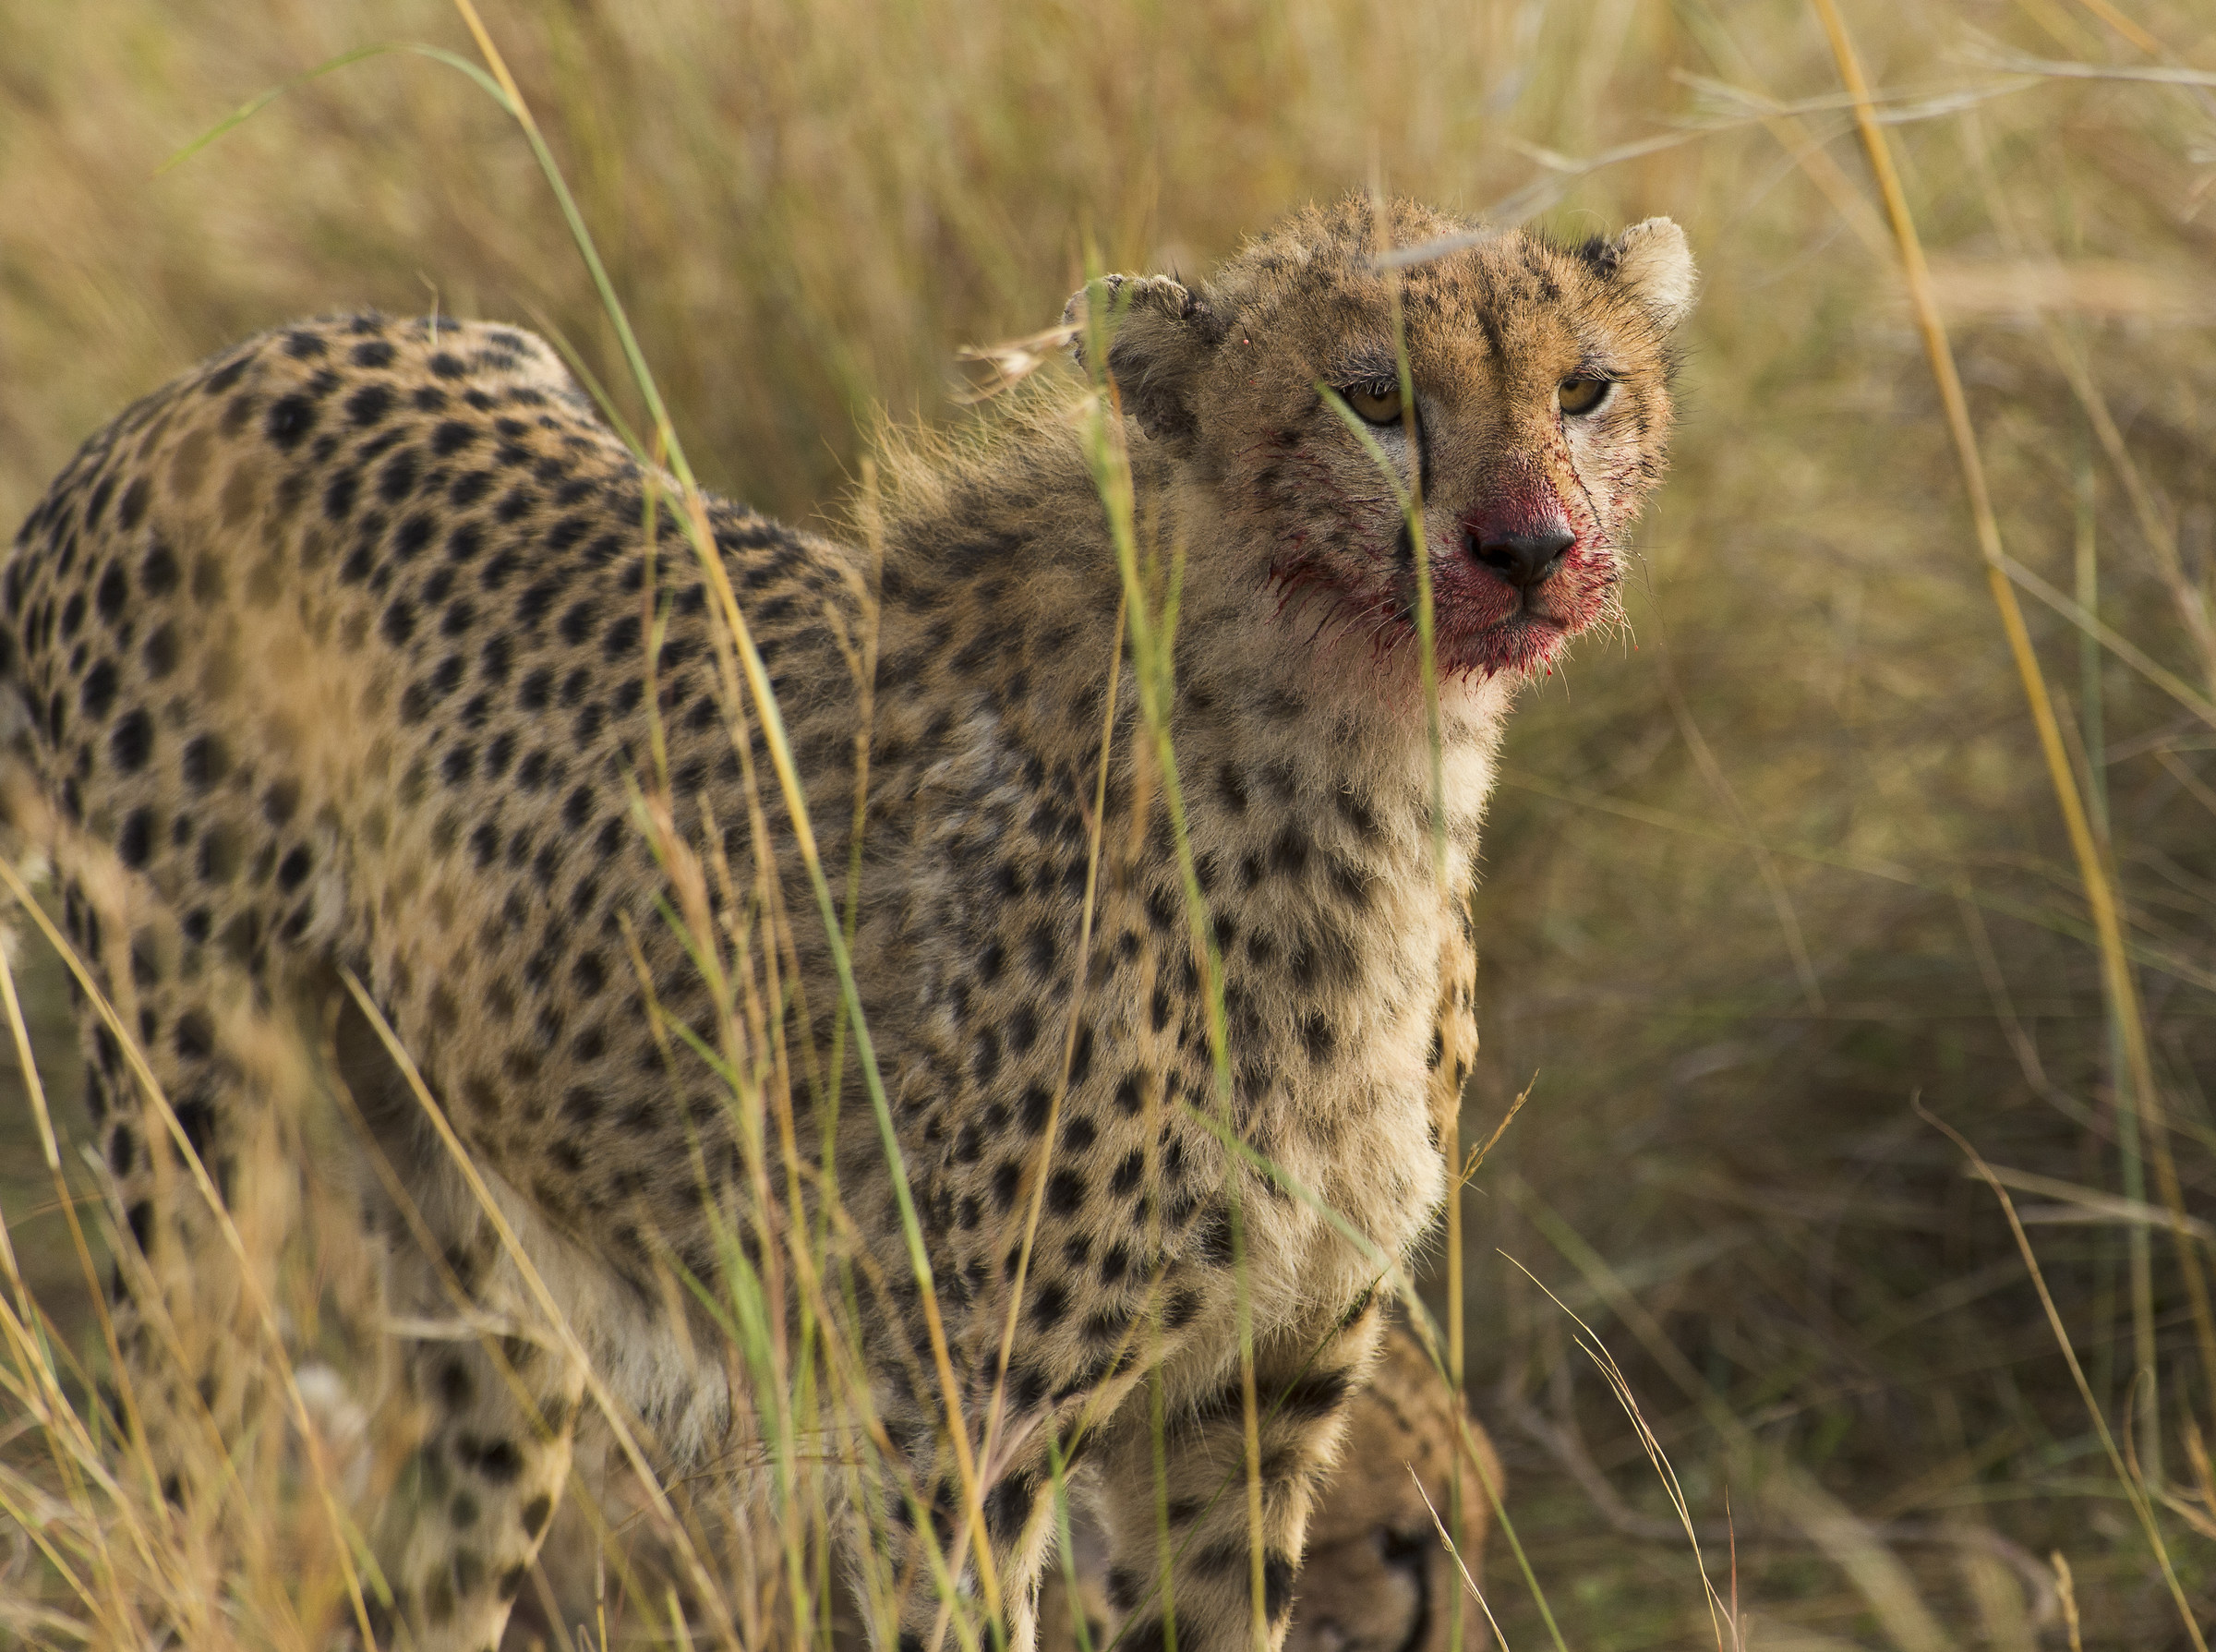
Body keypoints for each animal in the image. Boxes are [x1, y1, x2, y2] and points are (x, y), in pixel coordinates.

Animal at [3, 194, 1693, 1652]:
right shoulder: (954, 1434)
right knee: (176, 1503)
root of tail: (191, 390)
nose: (1530, 546)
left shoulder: (1245, 1409)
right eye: (1372, 399)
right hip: (196, 1185)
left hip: (487, 1268)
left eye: (1585, 389)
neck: (1365, 750)